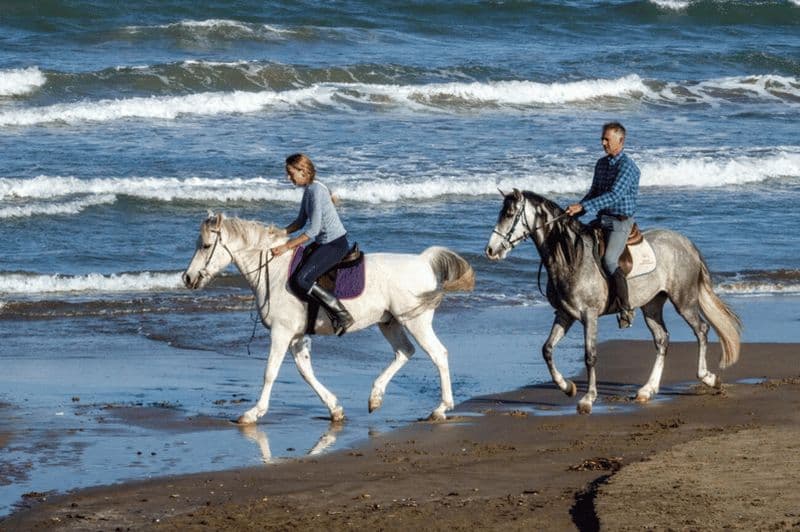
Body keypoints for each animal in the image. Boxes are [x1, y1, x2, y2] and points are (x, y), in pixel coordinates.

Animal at [182, 212, 475, 424]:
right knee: (405, 351)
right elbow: (305, 371)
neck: (273, 270)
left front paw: (253, 413)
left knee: (438, 354)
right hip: (389, 322)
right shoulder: (297, 336)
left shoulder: (282, 332)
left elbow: (270, 372)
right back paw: (375, 397)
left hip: (415, 321)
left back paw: (440, 409)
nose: (187, 278)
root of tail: (423, 261)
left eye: (205, 246)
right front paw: (334, 408)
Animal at [485, 189, 741, 414]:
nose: (490, 250)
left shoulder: (589, 315)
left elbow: (590, 356)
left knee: (701, 330)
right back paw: (647, 390)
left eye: (509, 214)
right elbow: (547, 349)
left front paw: (587, 399)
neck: (570, 257)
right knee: (662, 339)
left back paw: (709, 378)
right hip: (652, 305)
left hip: (684, 300)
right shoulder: (564, 314)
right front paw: (568, 388)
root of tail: (686, 243)